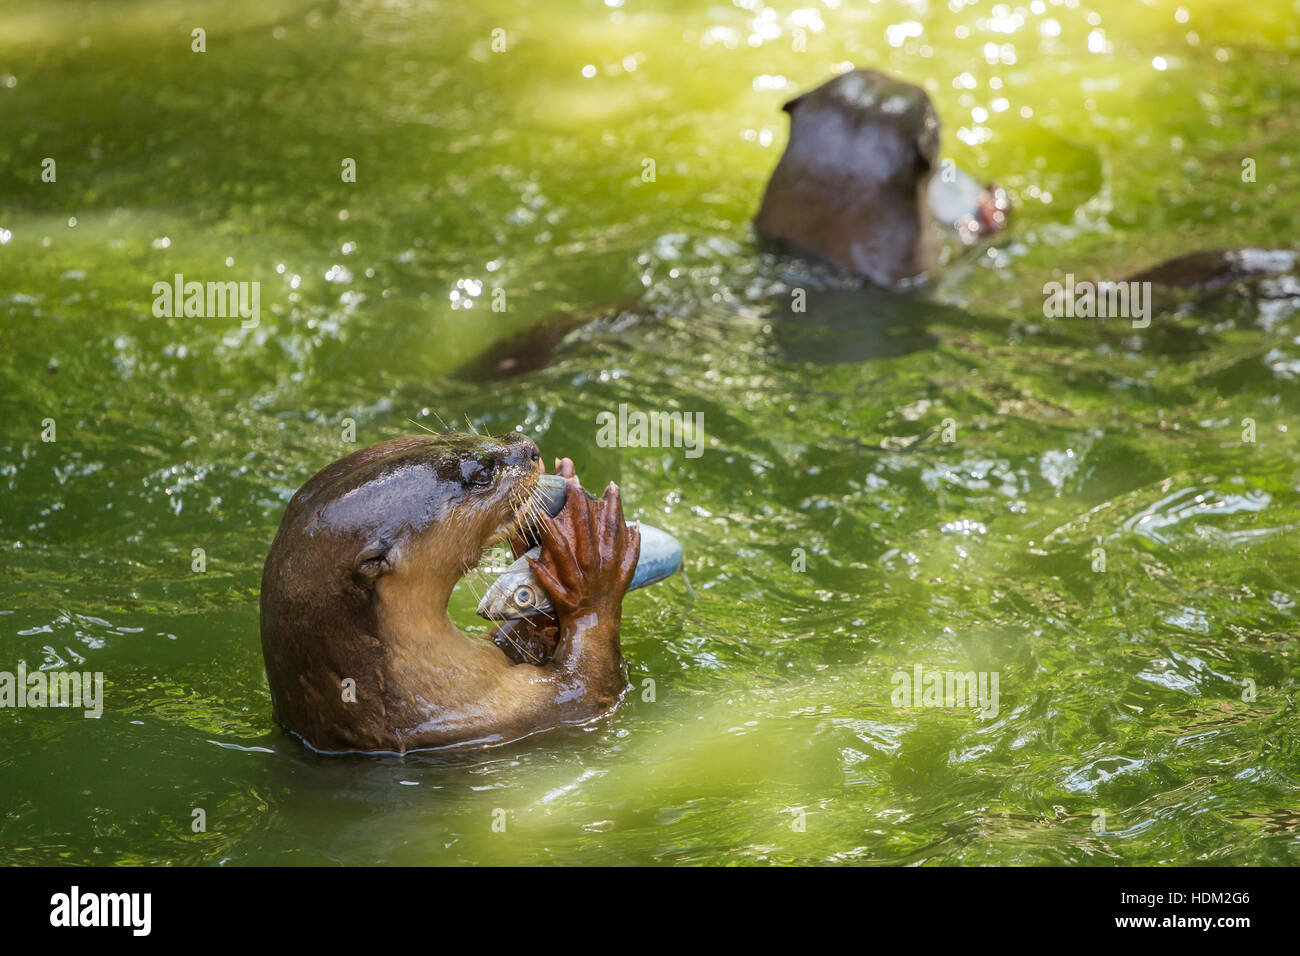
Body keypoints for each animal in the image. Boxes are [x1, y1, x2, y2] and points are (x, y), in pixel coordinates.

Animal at [259, 432, 641, 754]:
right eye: (482, 474)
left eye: (455, 434)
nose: (528, 446)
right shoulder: (512, 713)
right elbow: (592, 683)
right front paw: (589, 556)